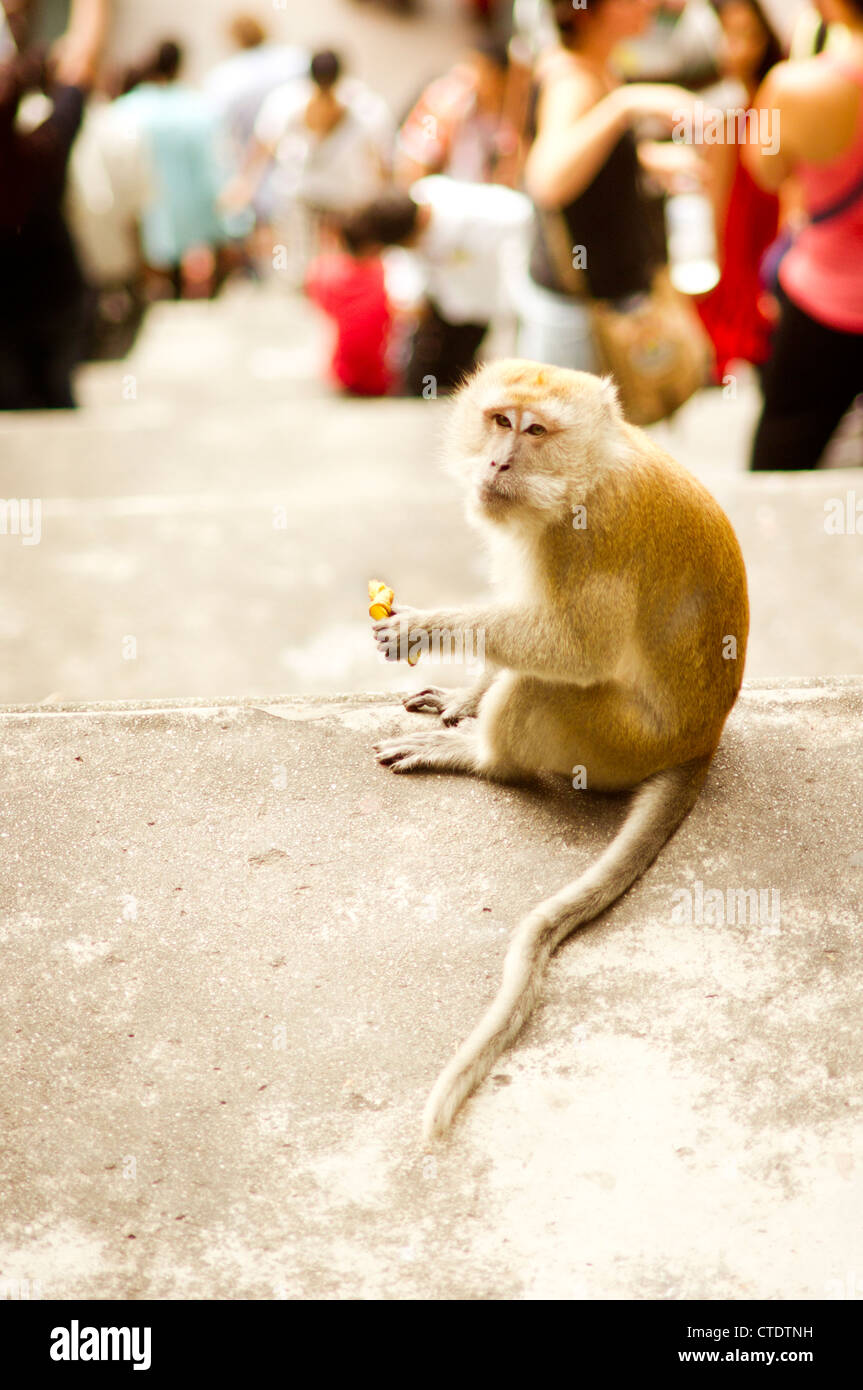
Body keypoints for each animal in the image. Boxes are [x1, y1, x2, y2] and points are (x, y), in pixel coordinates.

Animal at [369, 361, 744, 1139]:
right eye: (499, 421)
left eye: (535, 430)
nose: (497, 463)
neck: (583, 475)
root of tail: (704, 739)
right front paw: (466, 695)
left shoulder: (589, 536)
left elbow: (573, 650)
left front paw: (427, 626)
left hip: (614, 744)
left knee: (539, 688)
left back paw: (483, 760)